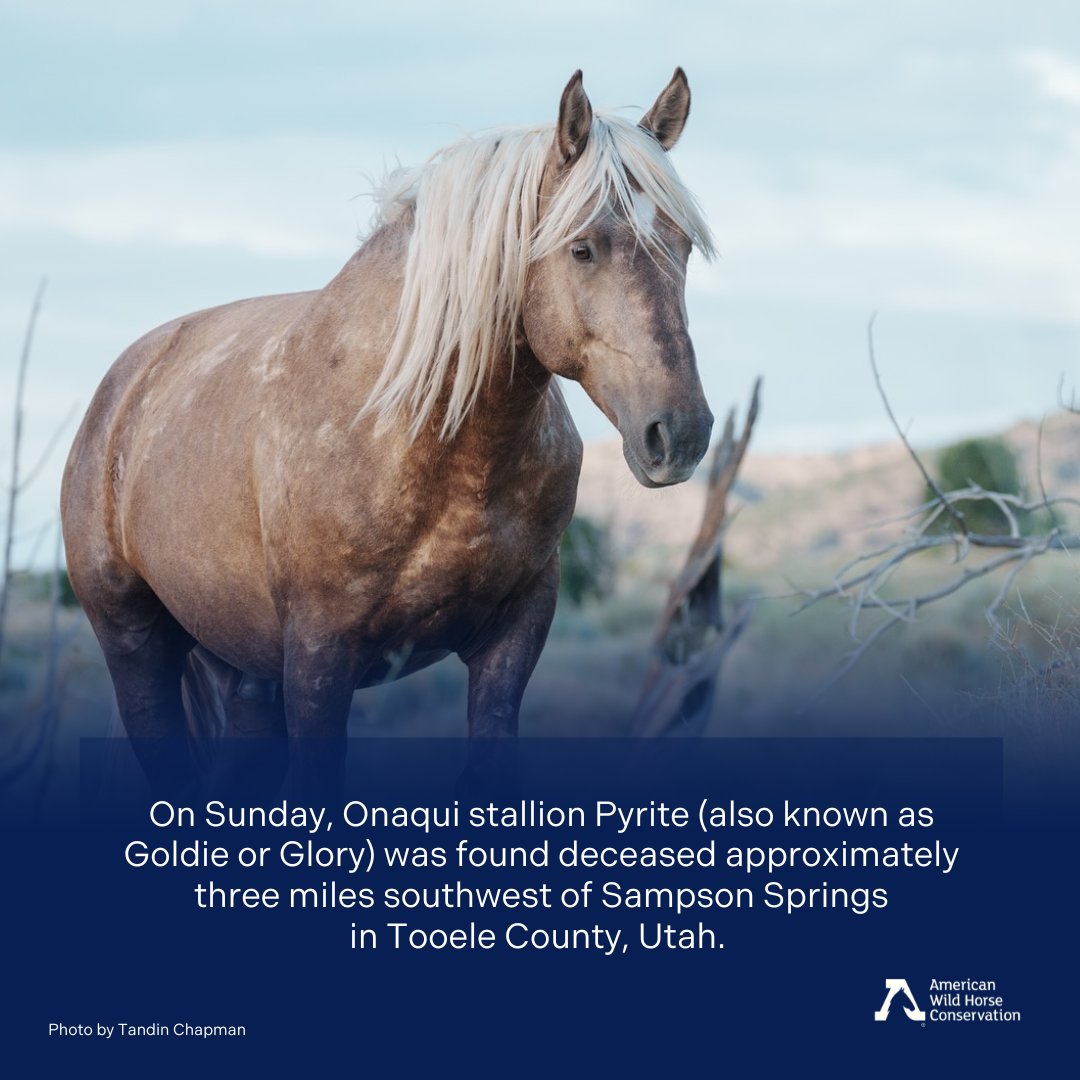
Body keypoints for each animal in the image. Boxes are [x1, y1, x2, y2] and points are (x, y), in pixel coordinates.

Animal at [61, 69, 717, 799]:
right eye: (583, 248)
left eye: (683, 245)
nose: (680, 433)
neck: (423, 443)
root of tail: (124, 387)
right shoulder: (319, 658)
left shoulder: (512, 639)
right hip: (138, 648)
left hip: (242, 670)